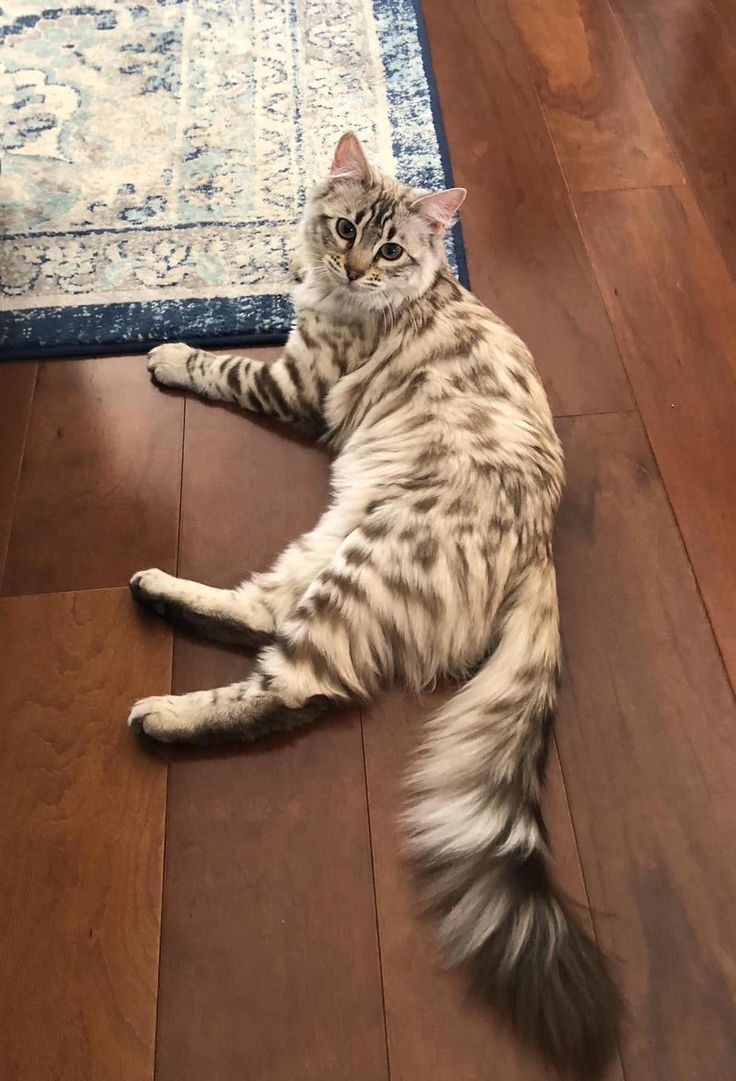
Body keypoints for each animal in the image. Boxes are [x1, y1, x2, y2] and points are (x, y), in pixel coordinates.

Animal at [127, 130, 618, 1076]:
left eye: (390, 251)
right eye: (349, 228)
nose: (353, 265)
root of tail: (540, 543)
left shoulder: (295, 379)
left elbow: (222, 363)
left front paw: (170, 353)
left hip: (362, 560)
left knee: (294, 684)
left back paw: (158, 713)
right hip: (329, 538)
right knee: (260, 614)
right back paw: (156, 590)